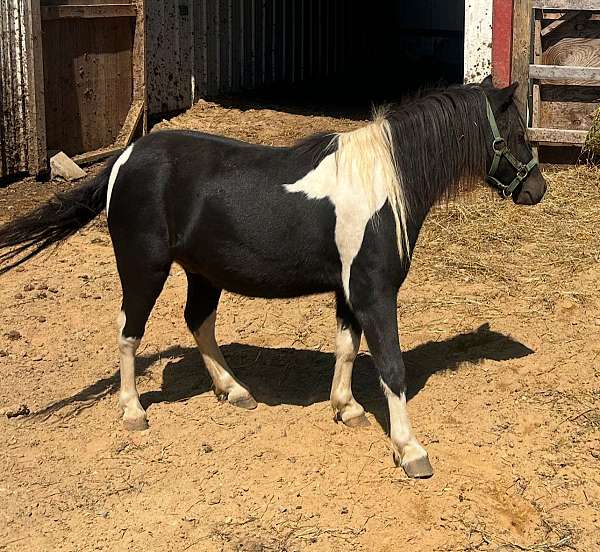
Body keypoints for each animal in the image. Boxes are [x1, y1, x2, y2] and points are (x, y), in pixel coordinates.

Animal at [0, 78, 544, 478]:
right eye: (518, 134)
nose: (537, 190)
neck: (381, 187)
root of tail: (124, 159)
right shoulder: (374, 292)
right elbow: (391, 367)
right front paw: (410, 450)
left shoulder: (349, 291)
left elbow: (347, 348)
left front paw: (346, 408)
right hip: (143, 269)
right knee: (129, 332)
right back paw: (134, 411)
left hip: (203, 273)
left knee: (198, 321)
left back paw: (234, 390)